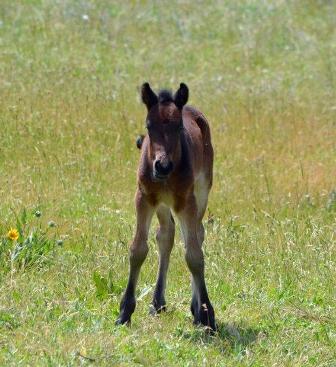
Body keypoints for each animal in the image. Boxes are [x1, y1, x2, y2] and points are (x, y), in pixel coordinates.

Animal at [115, 82, 215, 330]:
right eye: (148, 126)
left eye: (178, 126)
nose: (162, 166)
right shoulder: (143, 197)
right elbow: (138, 249)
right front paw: (124, 312)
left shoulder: (187, 200)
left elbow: (194, 256)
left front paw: (206, 314)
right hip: (161, 203)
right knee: (166, 234)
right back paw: (157, 302)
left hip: (202, 191)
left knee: (197, 234)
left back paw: (194, 308)